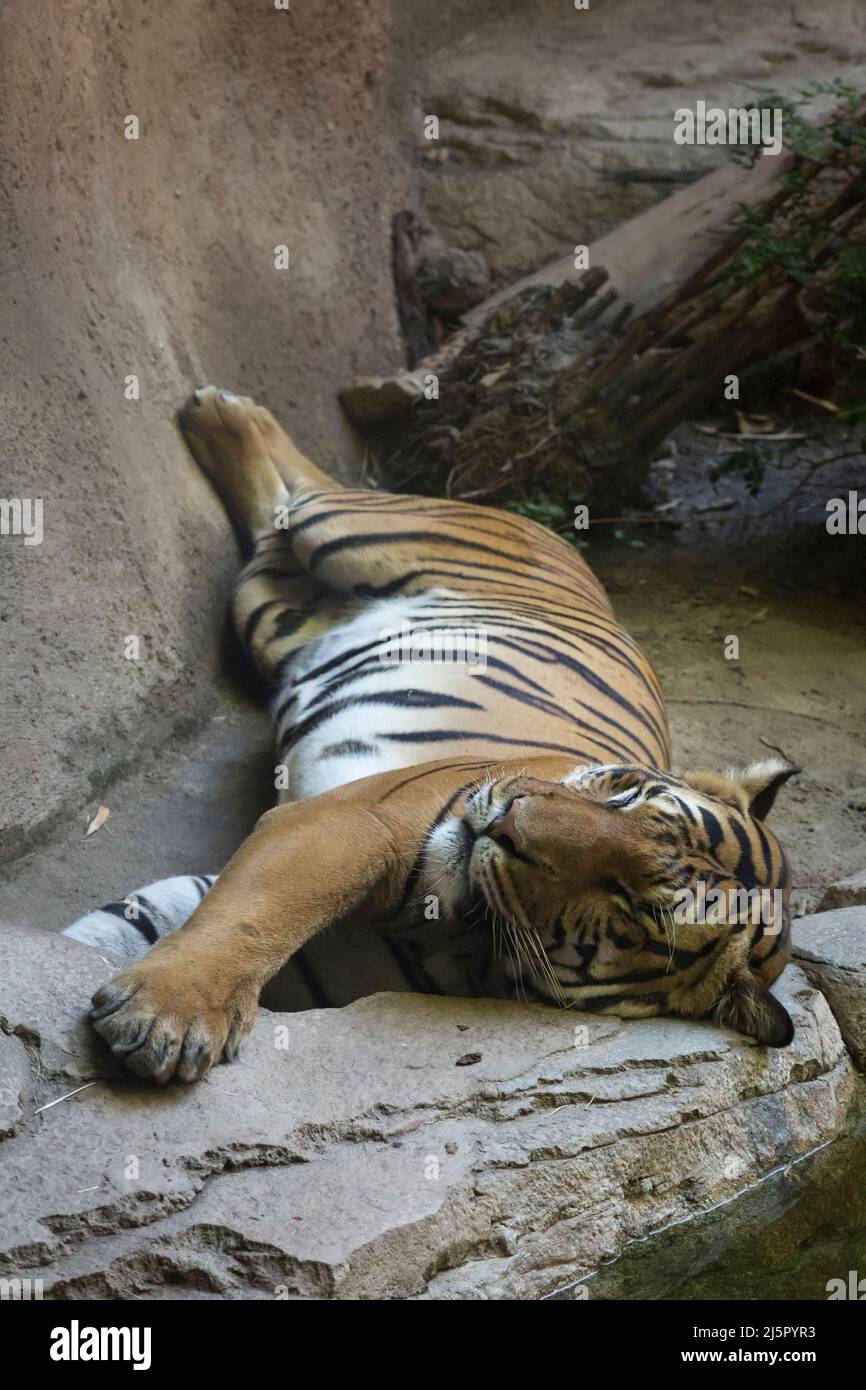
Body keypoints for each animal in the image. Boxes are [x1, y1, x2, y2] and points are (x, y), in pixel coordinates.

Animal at [67, 383, 800, 1084]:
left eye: (636, 905)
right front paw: (171, 1011)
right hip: (349, 533)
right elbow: (254, 913)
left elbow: (155, 919)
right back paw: (222, 411)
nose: (505, 821)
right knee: (310, 491)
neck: (461, 938)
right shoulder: (349, 820)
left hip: (272, 610)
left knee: (274, 529)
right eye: (625, 792)